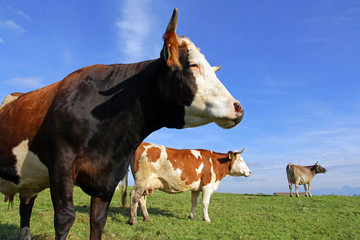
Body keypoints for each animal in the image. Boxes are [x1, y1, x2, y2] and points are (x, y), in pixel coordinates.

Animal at [122, 142, 252, 224]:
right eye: (241, 160)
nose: (250, 172)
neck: (214, 162)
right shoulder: (207, 185)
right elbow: (205, 203)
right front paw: (206, 219)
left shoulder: (196, 188)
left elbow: (194, 202)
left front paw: (191, 217)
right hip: (141, 180)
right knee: (134, 196)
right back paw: (133, 220)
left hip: (146, 183)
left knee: (142, 199)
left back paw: (147, 218)